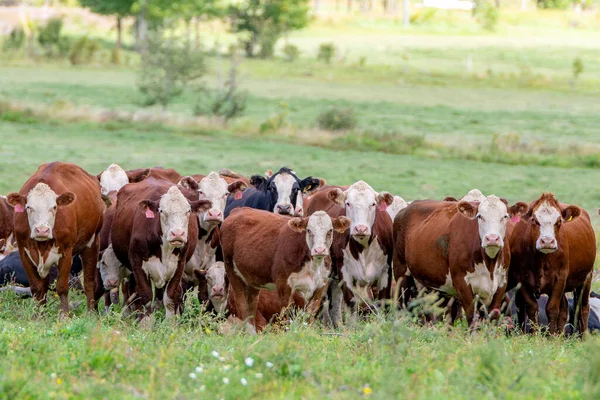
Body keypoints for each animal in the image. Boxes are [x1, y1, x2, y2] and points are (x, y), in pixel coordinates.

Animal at [7, 161, 105, 314]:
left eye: (54, 207)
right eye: (29, 207)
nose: (42, 230)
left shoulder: (66, 253)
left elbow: (62, 287)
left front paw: (64, 315)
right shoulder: (24, 253)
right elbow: (37, 288)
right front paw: (38, 315)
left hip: (92, 243)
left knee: (89, 282)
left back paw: (91, 312)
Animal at [110, 180, 211, 318]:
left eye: (188, 211)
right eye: (162, 211)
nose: (177, 233)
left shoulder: (179, 265)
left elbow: (170, 296)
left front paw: (171, 321)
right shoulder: (137, 263)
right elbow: (145, 295)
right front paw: (145, 321)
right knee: (129, 288)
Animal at [220, 208, 352, 332]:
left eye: (330, 231)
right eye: (309, 230)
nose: (319, 250)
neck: (313, 266)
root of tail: (238, 210)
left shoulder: (321, 285)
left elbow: (310, 314)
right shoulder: (284, 284)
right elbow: (286, 315)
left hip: (252, 279)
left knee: (252, 305)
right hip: (232, 272)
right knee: (242, 303)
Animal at [394, 195, 524, 326]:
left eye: (505, 216)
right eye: (480, 216)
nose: (492, 238)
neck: (489, 264)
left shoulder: (501, 283)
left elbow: (493, 316)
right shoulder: (462, 283)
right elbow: (472, 317)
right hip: (401, 271)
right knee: (401, 304)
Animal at [508, 193, 596, 334]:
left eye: (559, 221)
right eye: (534, 220)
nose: (547, 241)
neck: (540, 259)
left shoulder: (560, 278)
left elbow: (552, 308)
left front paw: (551, 335)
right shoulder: (521, 278)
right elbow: (532, 307)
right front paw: (534, 334)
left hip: (586, 278)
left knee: (582, 308)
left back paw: (581, 336)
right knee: (564, 308)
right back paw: (560, 334)